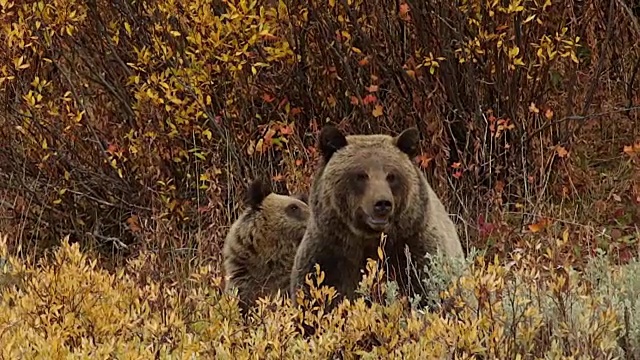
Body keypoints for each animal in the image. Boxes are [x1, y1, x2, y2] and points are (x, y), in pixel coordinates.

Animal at [290, 125, 464, 308]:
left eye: (392, 175)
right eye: (361, 175)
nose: (382, 203)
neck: (368, 240)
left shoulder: (415, 250)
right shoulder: (328, 255)